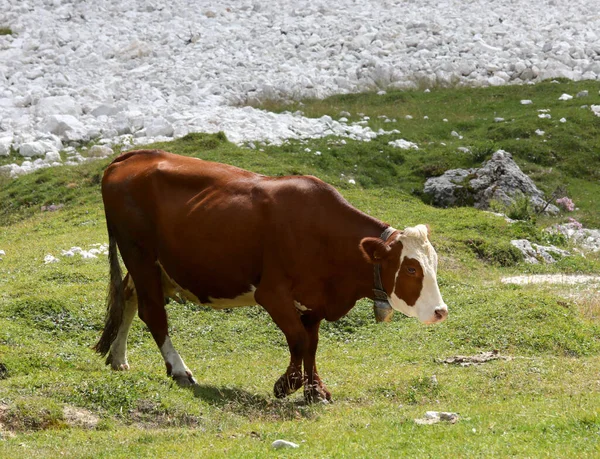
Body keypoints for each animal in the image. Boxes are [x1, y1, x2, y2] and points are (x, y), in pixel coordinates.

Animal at [94, 150, 448, 402]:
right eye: (411, 268)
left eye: (434, 263)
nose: (440, 311)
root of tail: (131, 157)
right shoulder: (272, 293)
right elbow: (299, 339)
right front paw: (286, 385)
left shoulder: (314, 300)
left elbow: (311, 344)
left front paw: (315, 390)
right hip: (140, 254)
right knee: (153, 312)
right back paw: (179, 369)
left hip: (154, 267)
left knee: (127, 294)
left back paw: (118, 357)